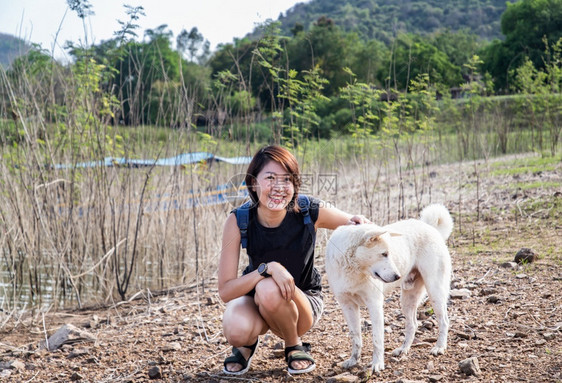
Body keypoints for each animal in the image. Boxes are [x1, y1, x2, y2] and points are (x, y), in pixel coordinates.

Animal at [324, 206, 450, 374]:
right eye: (384, 254)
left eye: (389, 253)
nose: (398, 276)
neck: (353, 268)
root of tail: (430, 227)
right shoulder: (347, 306)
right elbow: (356, 336)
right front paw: (353, 360)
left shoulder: (375, 305)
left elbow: (377, 339)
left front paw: (377, 364)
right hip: (407, 300)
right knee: (412, 325)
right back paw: (403, 349)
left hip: (435, 291)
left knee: (444, 321)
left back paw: (439, 347)